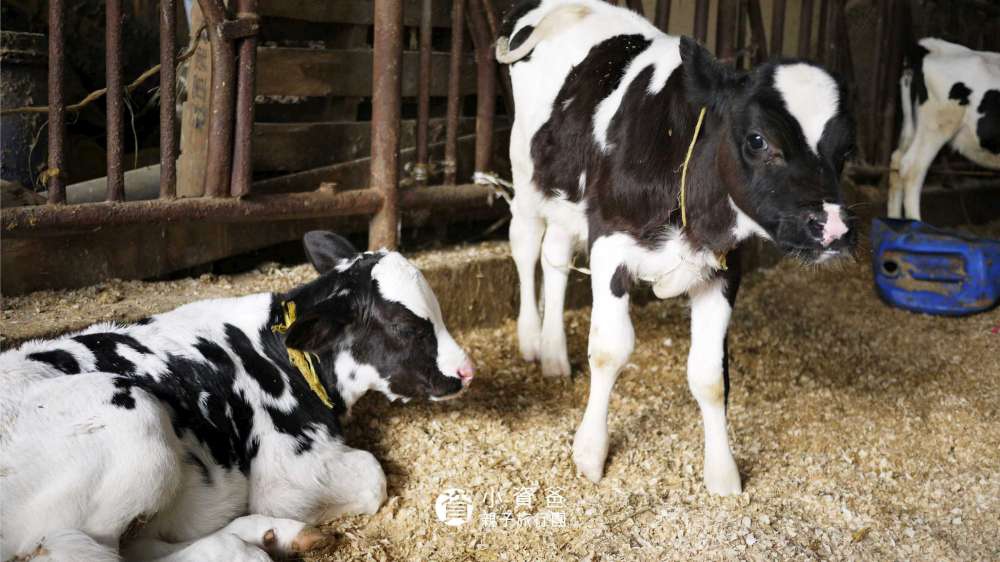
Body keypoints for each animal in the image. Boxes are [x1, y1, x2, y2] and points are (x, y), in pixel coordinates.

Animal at [0, 230, 476, 556]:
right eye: (407, 326)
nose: (467, 371)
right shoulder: (287, 473)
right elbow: (373, 476)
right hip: (135, 427)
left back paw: (271, 536)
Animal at [496, 0, 856, 490]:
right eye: (758, 139)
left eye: (846, 150)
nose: (833, 229)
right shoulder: (609, 242)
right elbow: (610, 349)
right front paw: (590, 453)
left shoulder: (724, 267)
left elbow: (710, 374)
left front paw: (722, 475)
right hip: (525, 167)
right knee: (526, 243)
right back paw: (531, 338)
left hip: (569, 195)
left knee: (555, 255)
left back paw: (553, 353)